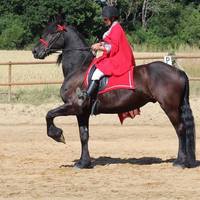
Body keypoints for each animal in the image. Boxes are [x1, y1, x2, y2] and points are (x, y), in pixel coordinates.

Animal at [32, 16, 195, 169]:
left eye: (52, 33)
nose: (35, 51)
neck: (79, 68)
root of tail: (179, 71)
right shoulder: (82, 112)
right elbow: (84, 135)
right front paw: (84, 163)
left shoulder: (74, 106)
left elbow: (49, 115)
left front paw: (58, 135)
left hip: (170, 107)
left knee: (180, 129)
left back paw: (180, 162)